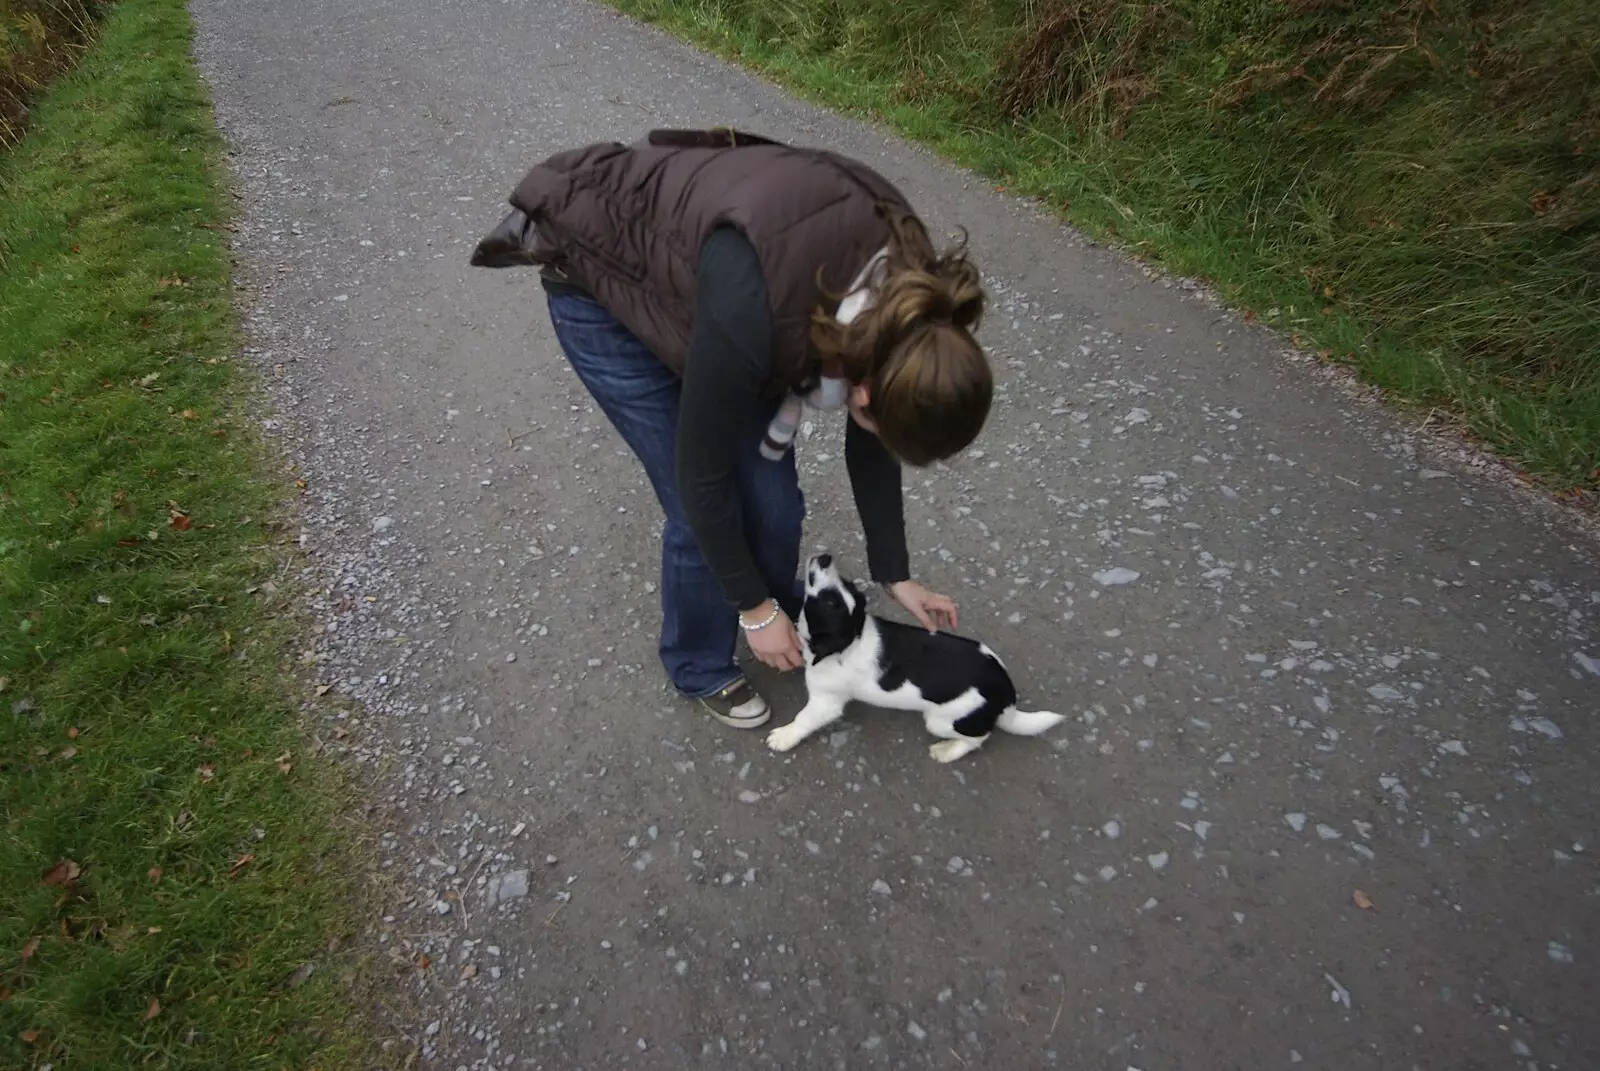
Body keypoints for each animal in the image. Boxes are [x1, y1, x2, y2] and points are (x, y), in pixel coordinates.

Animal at [768, 550, 1068, 758]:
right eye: (843, 587)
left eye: (830, 603)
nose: (825, 558)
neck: (852, 638)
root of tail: (1006, 692)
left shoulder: (826, 702)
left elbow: (804, 719)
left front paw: (783, 737)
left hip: (941, 720)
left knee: (978, 738)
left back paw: (947, 752)